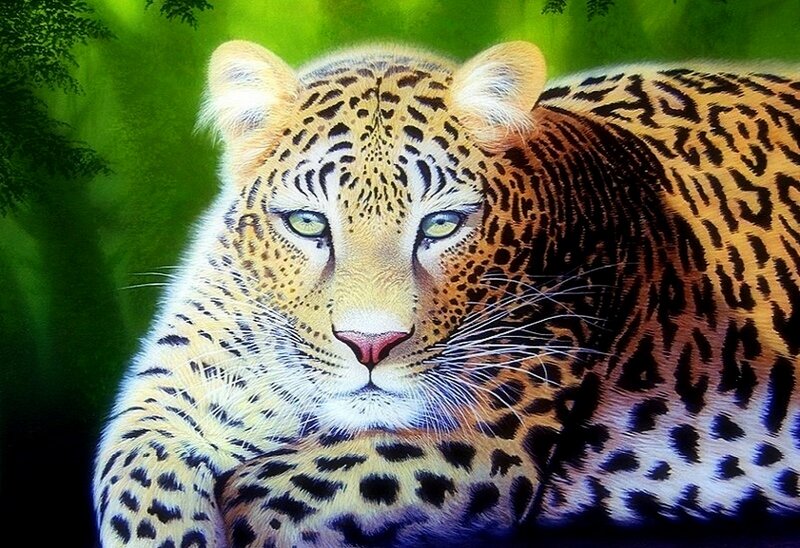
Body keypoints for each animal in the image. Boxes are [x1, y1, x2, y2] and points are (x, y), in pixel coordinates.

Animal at [93, 40, 800, 547]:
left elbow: (265, 490)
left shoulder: (486, 440)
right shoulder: (172, 399)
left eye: (440, 226)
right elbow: (136, 485)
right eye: (309, 224)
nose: (370, 345)